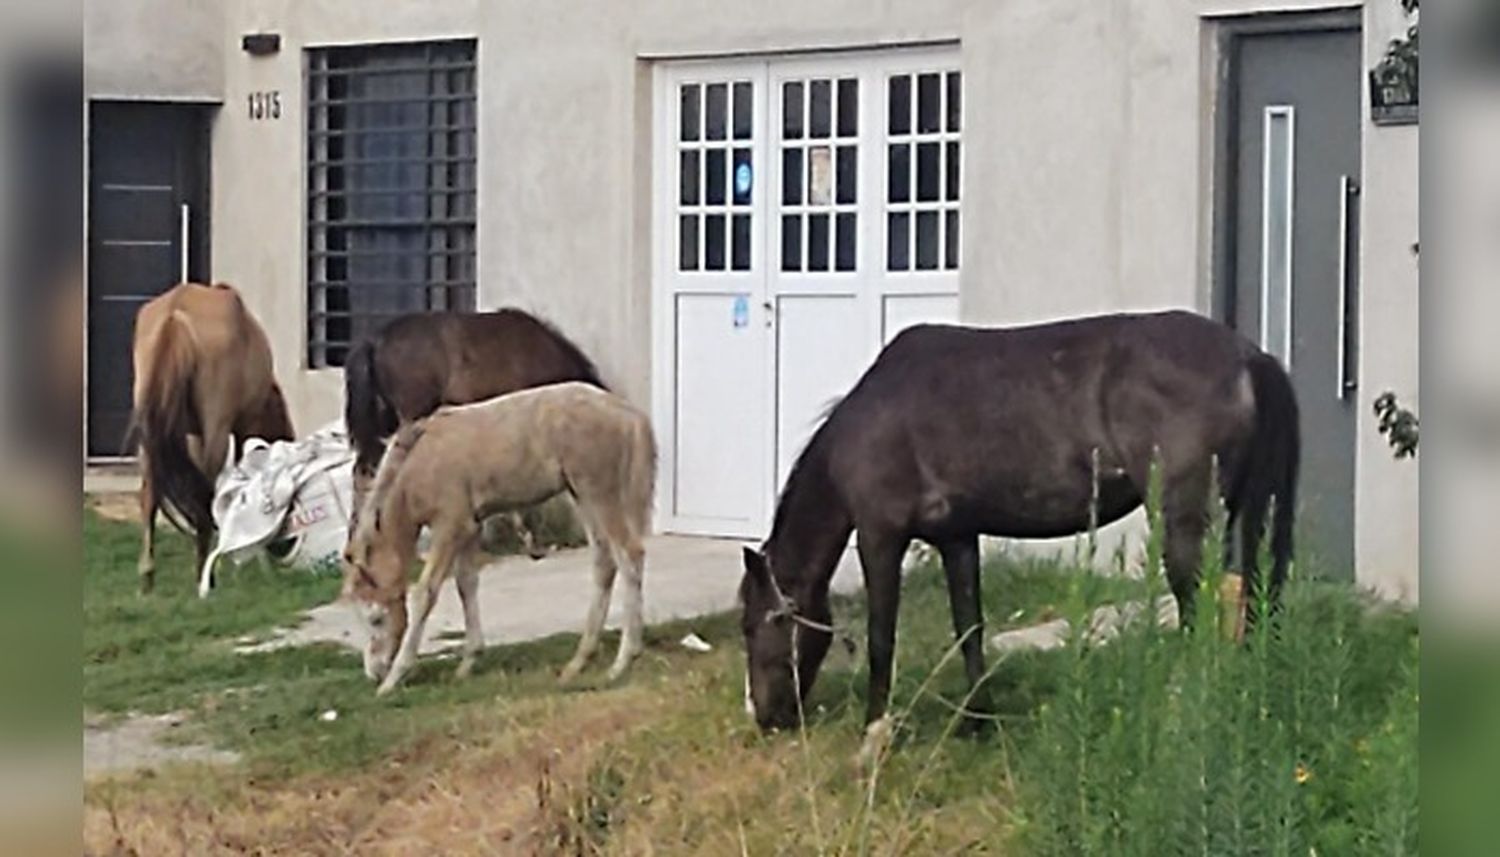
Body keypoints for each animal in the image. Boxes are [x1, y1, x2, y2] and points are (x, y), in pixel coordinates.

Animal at [129, 285, 295, 594]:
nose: (285, 547)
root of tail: (175, 315)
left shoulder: (193, 433)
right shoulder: (241, 429)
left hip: (150, 432)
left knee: (150, 495)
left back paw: (148, 579)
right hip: (215, 426)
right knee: (203, 490)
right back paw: (203, 575)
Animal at [346, 382, 663, 696]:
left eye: (376, 619)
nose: (374, 671)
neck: (420, 463)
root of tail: (628, 414)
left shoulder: (450, 526)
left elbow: (425, 593)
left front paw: (394, 678)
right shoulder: (470, 527)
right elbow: (466, 584)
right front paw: (467, 663)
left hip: (599, 493)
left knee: (629, 555)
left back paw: (623, 660)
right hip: (582, 495)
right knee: (604, 561)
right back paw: (578, 662)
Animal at [741, 312, 1302, 741]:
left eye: (755, 624)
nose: (764, 717)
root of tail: (1249, 357)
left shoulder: (881, 537)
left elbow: (883, 638)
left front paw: (874, 733)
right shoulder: (957, 539)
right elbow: (969, 627)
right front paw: (976, 722)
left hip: (1183, 522)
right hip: (1253, 513)